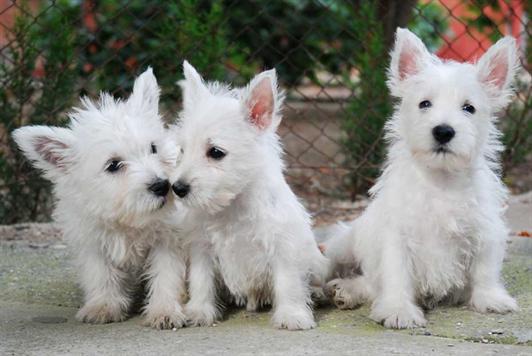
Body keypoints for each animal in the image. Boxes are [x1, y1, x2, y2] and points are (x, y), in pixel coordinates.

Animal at [12, 68, 187, 330]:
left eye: (153, 148)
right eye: (113, 165)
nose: (162, 185)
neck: (128, 219)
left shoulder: (168, 238)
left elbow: (166, 275)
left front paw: (164, 311)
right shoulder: (93, 240)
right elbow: (101, 274)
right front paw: (103, 306)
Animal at [170, 61, 328, 330]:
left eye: (215, 152)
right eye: (182, 150)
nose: (177, 188)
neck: (232, 204)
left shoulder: (283, 245)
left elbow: (288, 283)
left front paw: (292, 315)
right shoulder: (202, 247)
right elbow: (202, 281)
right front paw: (199, 311)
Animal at [324, 27, 520, 328]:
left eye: (469, 108)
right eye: (424, 104)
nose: (443, 131)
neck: (441, 181)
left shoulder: (485, 230)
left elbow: (485, 268)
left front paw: (491, 298)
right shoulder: (397, 238)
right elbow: (396, 276)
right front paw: (398, 310)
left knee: (369, 284)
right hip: (343, 244)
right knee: (358, 275)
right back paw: (343, 289)